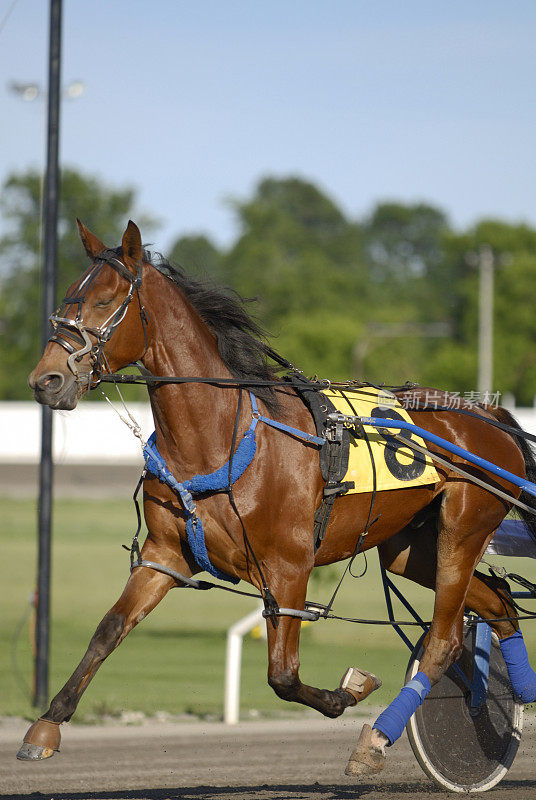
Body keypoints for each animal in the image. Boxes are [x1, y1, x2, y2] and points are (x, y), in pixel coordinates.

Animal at [19, 220, 536, 776]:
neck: (222, 439)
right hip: (412, 547)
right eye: (67, 296)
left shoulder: (289, 566)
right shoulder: (164, 555)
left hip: (464, 526)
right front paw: (45, 726)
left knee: (445, 639)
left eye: (104, 301)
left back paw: (376, 739)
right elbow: (108, 629)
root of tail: (489, 416)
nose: (45, 380)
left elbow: (283, 675)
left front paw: (351, 691)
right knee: (500, 604)